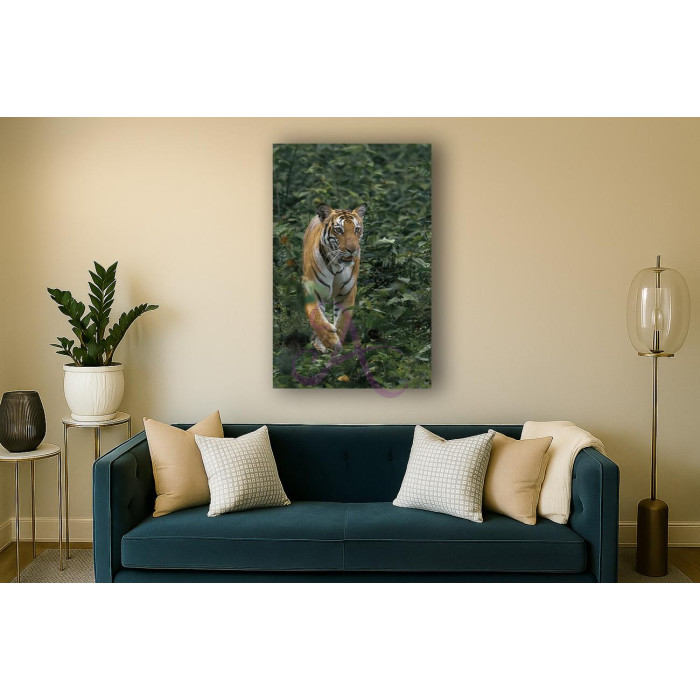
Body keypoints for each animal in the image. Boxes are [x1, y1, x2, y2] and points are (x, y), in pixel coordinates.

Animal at [302, 203, 367, 353]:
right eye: (339, 230)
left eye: (356, 229)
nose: (352, 250)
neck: (336, 265)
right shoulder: (312, 289)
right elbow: (316, 317)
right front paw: (330, 341)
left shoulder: (348, 291)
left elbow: (342, 320)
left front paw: (337, 343)